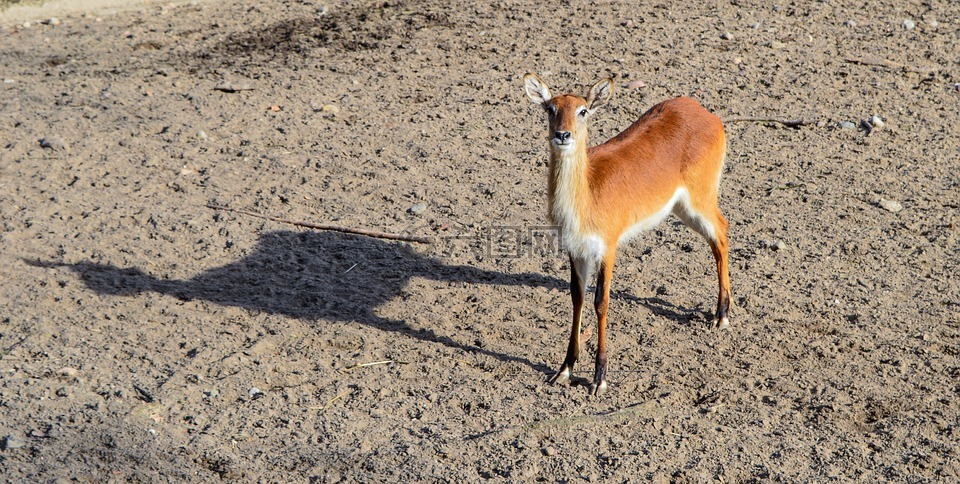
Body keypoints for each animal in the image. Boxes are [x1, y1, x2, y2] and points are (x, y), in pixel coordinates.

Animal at [520, 73, 732, 396]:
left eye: (583, 110)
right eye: (550, 108)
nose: (563, 135)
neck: (586, 195)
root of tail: (703, 112)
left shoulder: (607, 247)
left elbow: (601, 302)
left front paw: (599, 379)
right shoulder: (576, 249)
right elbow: (577, 297)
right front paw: (565, 370)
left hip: (700, 199)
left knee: (722, 231)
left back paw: (721, 317)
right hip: (682, 208)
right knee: (717, 237)